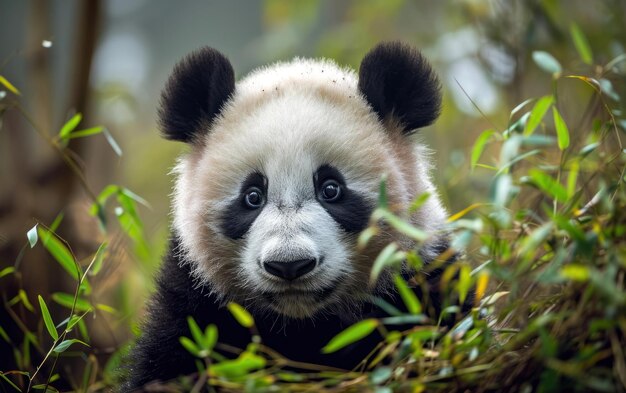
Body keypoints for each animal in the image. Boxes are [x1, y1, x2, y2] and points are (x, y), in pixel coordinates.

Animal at [122, 41, 454, 388]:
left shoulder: (423, 280)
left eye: (331, 189)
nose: (289, 265)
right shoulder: (196, 304)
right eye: (252, 196)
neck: (301, 325)